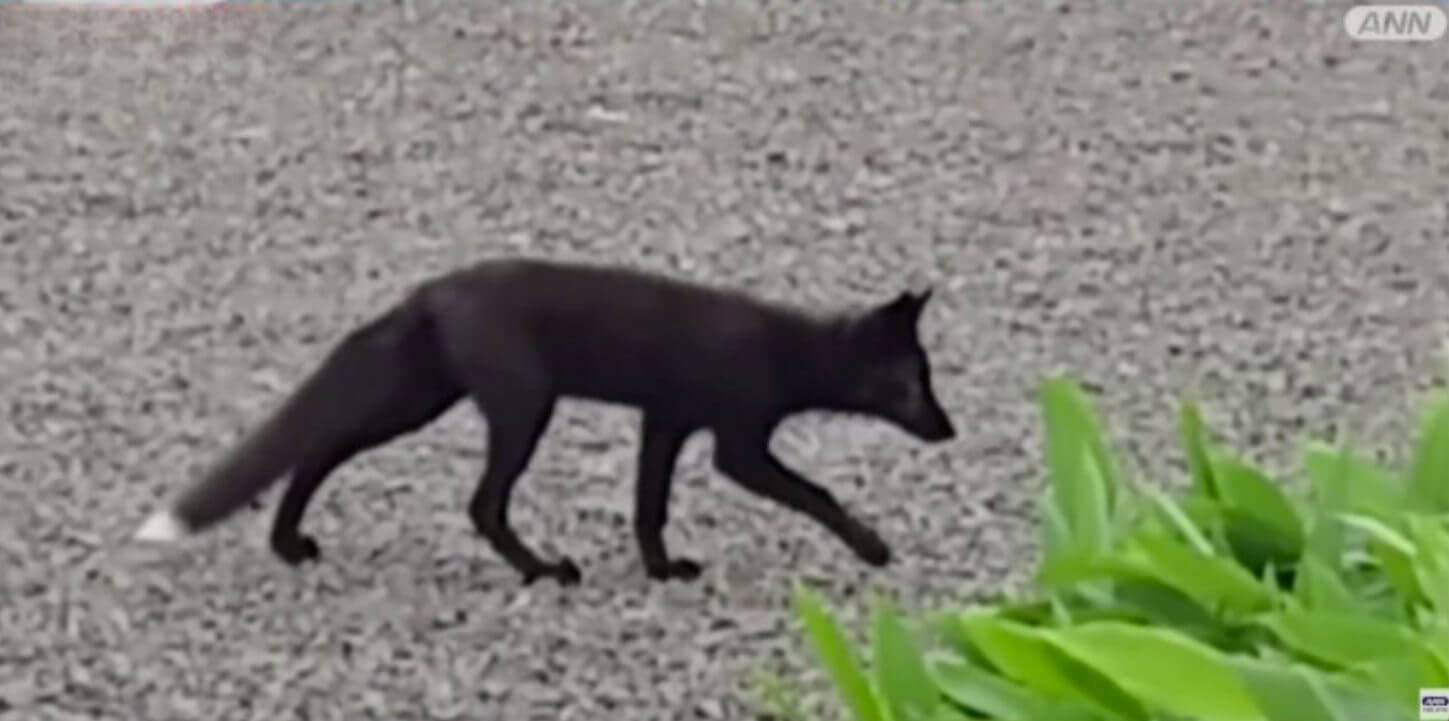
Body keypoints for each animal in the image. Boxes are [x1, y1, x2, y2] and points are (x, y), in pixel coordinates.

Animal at [133, 257, 957, 586]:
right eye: (913, 382)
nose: (949, 429)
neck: (786, 349)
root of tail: (431, 290)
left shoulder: (666, 421)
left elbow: (648, 505)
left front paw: (662, 570)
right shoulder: (737, 445)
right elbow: (817, 492)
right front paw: (872, 547)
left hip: (419, 399)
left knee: (320, 449)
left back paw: (289, 543)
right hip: (523, 406)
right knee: (481, 503)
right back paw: (543, 570)